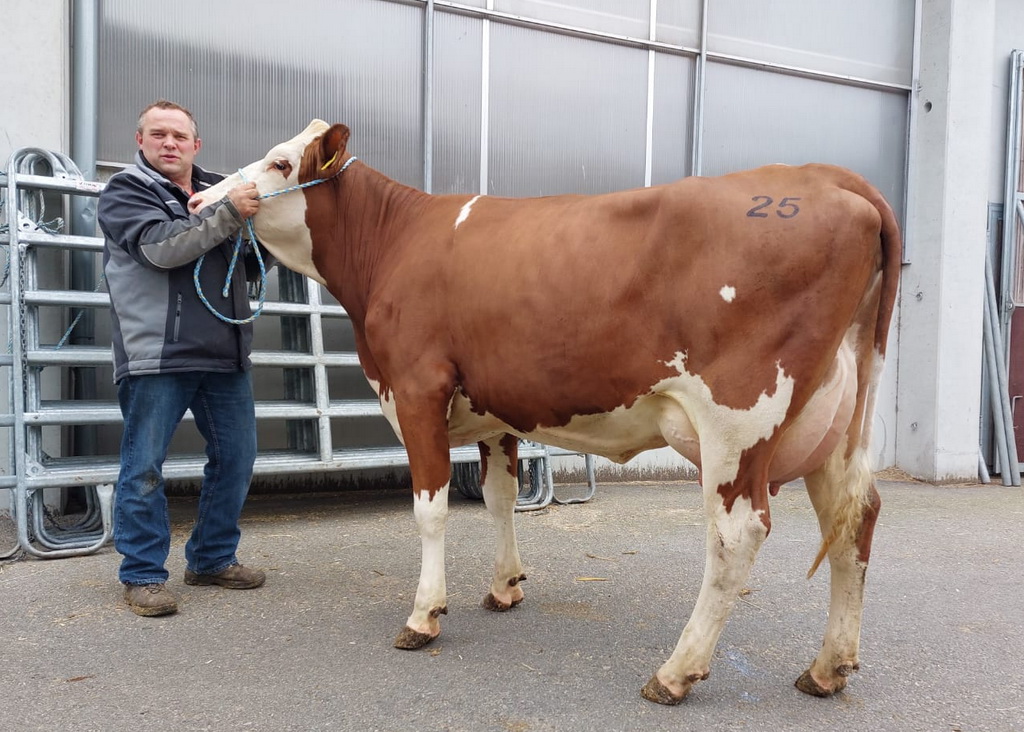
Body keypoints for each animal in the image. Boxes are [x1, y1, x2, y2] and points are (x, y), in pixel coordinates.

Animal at [190, 120, 897, 704]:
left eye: (281, 162)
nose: (199, 203)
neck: (393, 243)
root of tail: (826, 176)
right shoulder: (494, 411)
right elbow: (500, 497)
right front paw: (505, 587)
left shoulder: (417, 387)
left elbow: (429, 507)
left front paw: (424, 615)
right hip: (837, 422)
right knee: (853, 518)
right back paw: (828, 668)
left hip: (739, 418)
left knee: (737, 534)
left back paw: (675, 673)